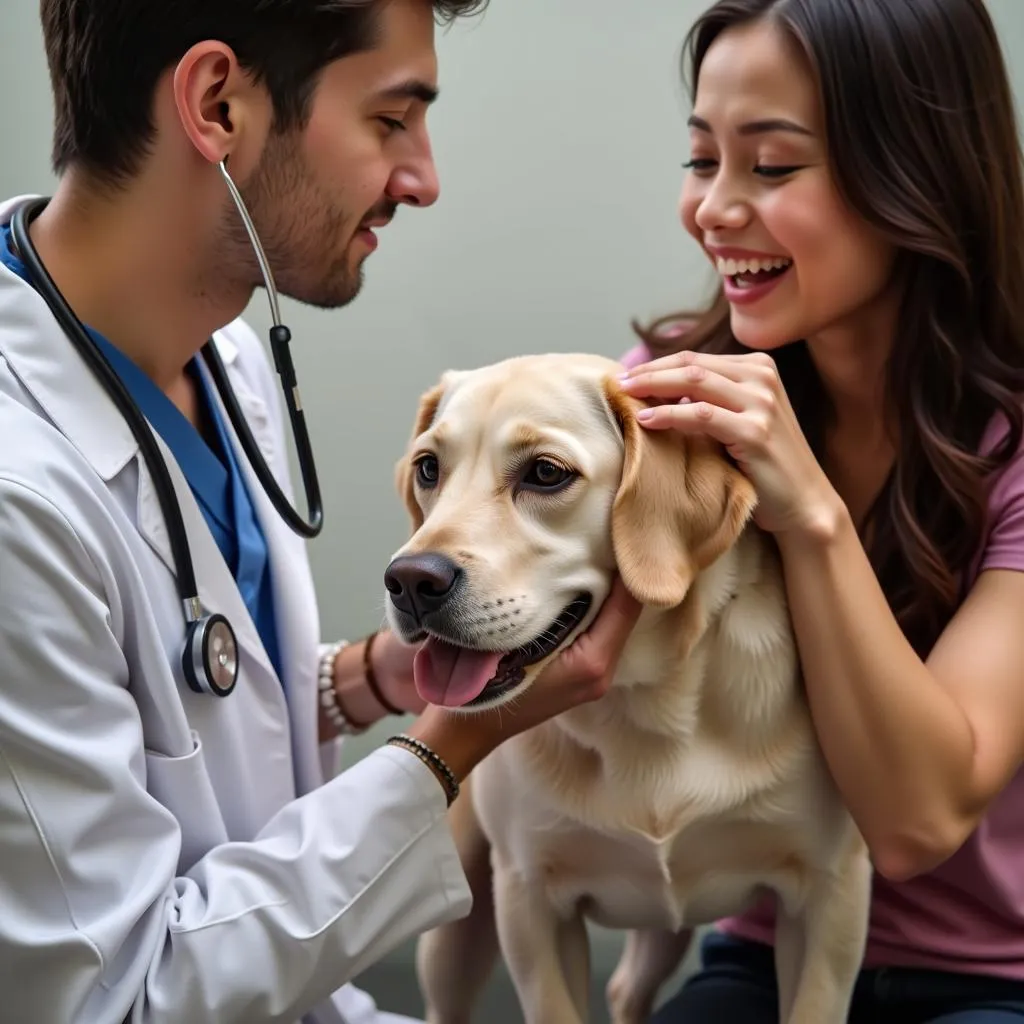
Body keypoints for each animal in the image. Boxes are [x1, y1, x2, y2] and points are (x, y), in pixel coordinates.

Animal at [385, 354, 872, 1024]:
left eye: (545, 473)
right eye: (429, 467)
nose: (409, 581)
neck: (646, 702)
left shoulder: (832, 894)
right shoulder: (530, 903)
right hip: (459, 928)